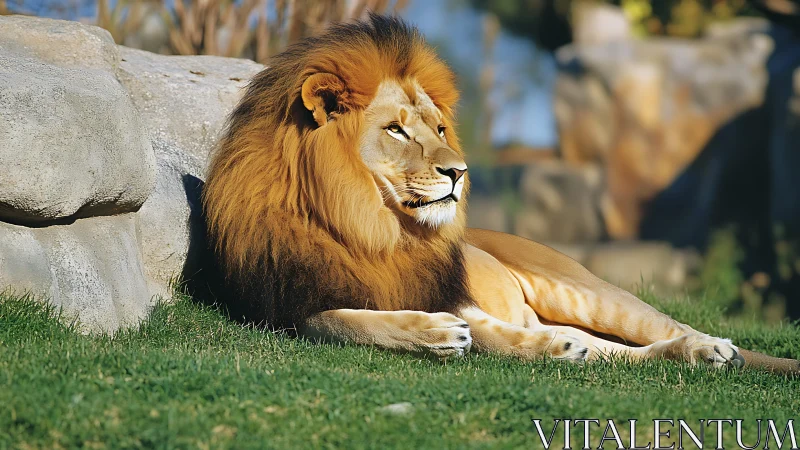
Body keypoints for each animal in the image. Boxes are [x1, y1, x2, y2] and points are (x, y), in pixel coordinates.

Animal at [202, 14, 799, 373]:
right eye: (396, 130)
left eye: (439, 129)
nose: (459, 172)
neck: (373, 225)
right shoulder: (289, 303)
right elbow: (345, 321)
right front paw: (433, 333)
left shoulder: (455, 294)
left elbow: (485, 333)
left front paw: (464, 335)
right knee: (624, 353)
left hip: (588, 291)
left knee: (665, 326)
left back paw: (710, 346)